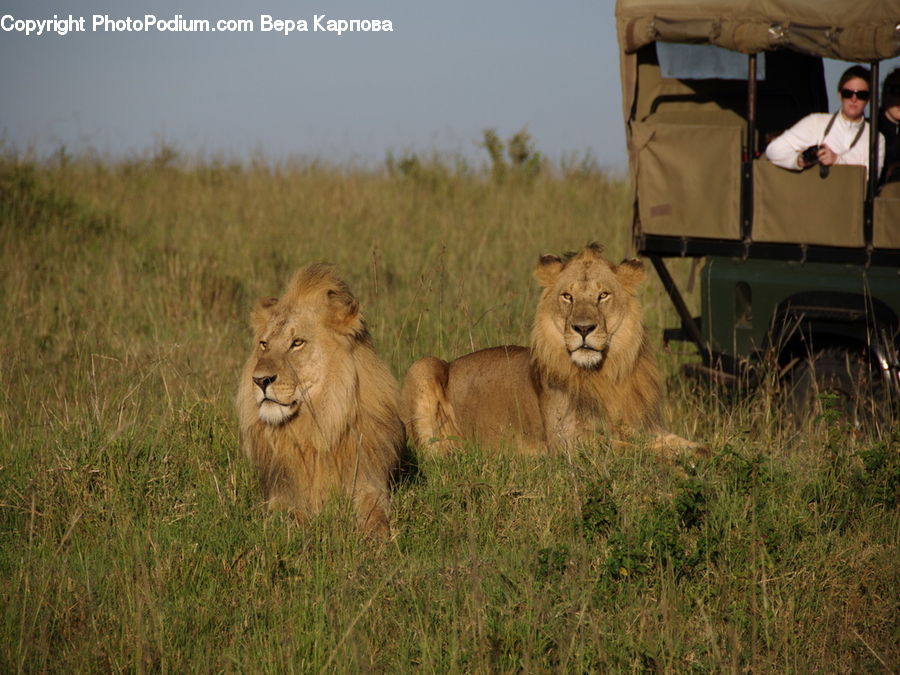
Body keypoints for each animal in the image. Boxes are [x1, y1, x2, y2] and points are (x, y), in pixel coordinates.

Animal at [237, 265, 405, 536]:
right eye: (264, 344)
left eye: (297, 343)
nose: (259, 380)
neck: (315, 427)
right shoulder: (281, 494)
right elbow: (289, 518)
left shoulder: (369, 483)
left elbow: (376, 515)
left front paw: (375, 538)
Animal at [401, 244, 700, 456]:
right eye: (567, 296)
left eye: (603, 295)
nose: (583, 328)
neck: (603, 375)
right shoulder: (567, 441)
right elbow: (634, 451)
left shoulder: (646, 425)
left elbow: (680, 443)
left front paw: (696, 451)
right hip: (423, 365)